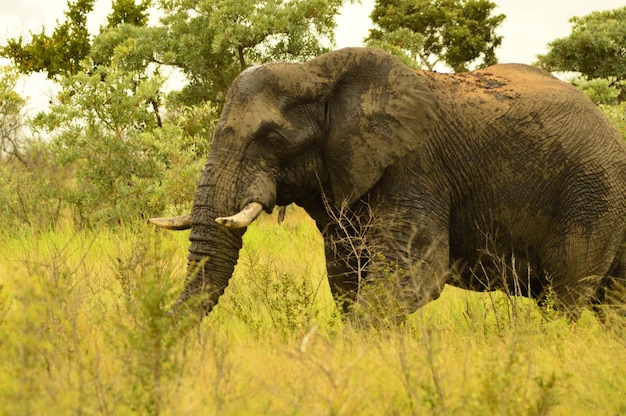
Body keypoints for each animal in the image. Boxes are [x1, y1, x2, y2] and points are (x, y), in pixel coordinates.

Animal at [150, 48, 624, 322]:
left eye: (272, 139)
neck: (319, 73)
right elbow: (346, 281)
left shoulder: (415, 169)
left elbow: (407, 278)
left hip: (591, 197)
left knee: (565, 297)